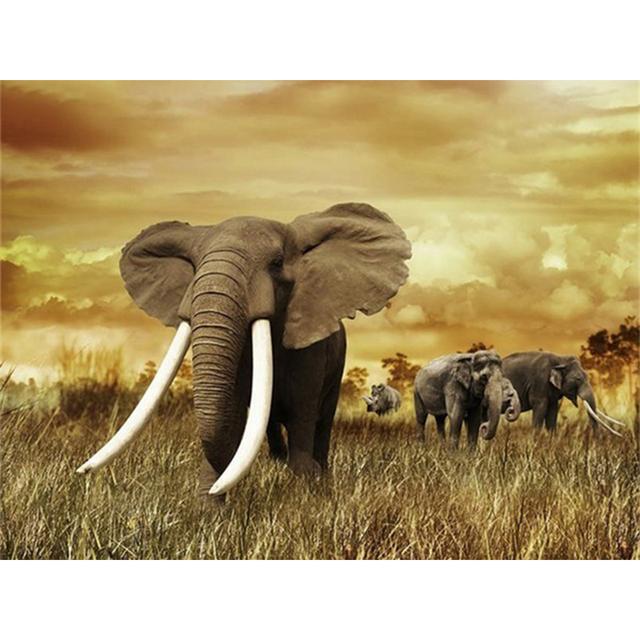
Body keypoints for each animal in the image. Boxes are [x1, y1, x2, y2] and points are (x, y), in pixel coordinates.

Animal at [76, 202, 411, 497]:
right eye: (195, 267)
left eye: (276, 263)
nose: (80, 473)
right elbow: (233, 414)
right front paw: (211, 514)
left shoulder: (312, 347)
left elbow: (302, 412)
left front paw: (305, 496)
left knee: (321, 421)